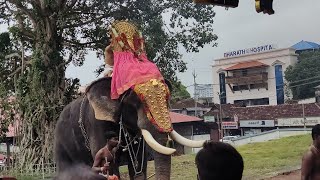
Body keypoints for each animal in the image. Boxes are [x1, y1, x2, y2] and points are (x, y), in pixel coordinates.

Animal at [53, 76, 204, 179]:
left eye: (167, 101)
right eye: (136, 103)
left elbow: (139, 164)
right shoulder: (95, 123)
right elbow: (108, 163)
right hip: (60, 143)